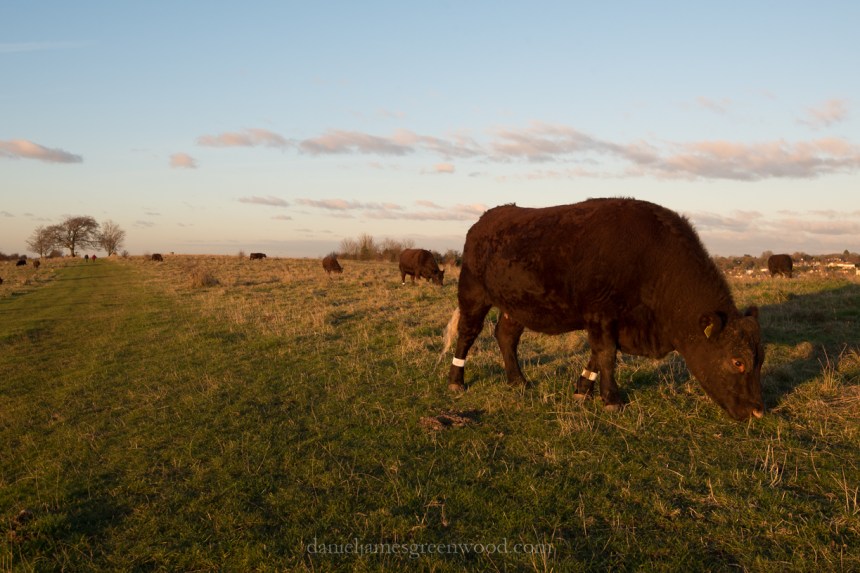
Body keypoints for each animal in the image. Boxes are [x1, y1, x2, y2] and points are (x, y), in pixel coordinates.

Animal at [442, 198, 764, 421]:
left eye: (760, 359)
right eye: (737, 361)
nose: (758, 411)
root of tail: (486, 219)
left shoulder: (609, 322)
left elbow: (598, 355)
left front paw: (582, 390)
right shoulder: (601, 314)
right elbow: (607, 355)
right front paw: (612, 400)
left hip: (515, 306)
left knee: (506, 336)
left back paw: (518, 381)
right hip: (473, 293)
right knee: (467, 333)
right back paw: (456, 381)